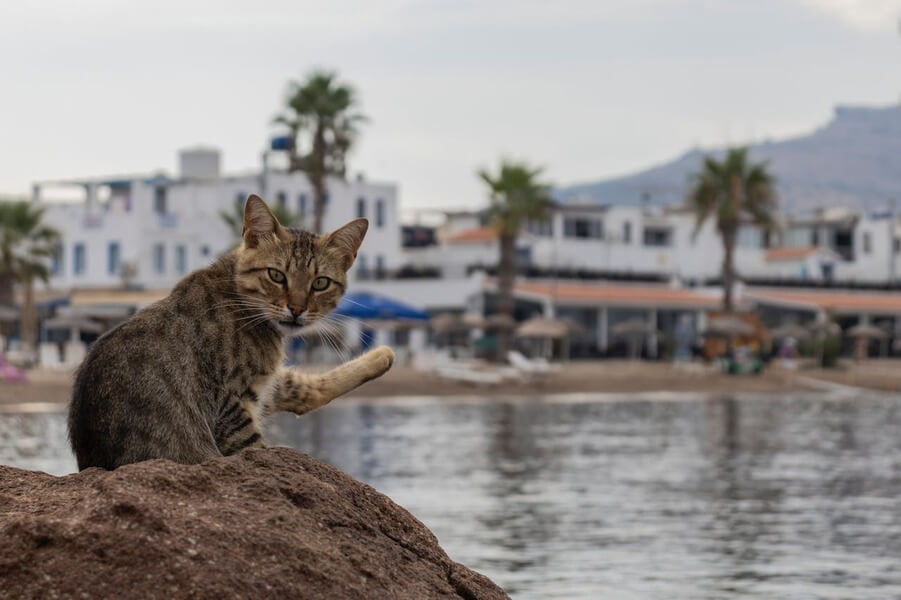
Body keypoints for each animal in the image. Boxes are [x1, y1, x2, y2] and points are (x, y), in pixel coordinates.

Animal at [68, 195, 392, 472]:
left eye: (320, 283)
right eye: (276, 275)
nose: (297, 308)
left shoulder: (263, 388)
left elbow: (306, 389)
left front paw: (380, 357)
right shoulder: (232, 408)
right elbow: (261, 450)